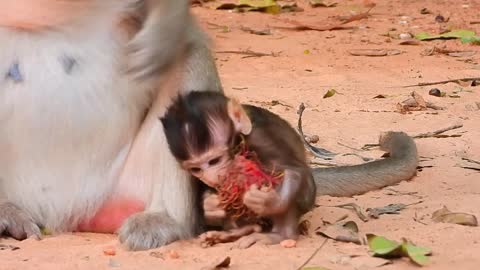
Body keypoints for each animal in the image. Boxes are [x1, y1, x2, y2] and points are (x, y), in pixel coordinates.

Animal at [161, 92, 318, 248]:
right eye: (196, 169)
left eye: (214, 161)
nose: (210, 178)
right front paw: (209, 206)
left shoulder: (261, 137)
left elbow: (293, 170)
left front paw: (268, 201)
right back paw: (236, 232)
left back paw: (281, 235)